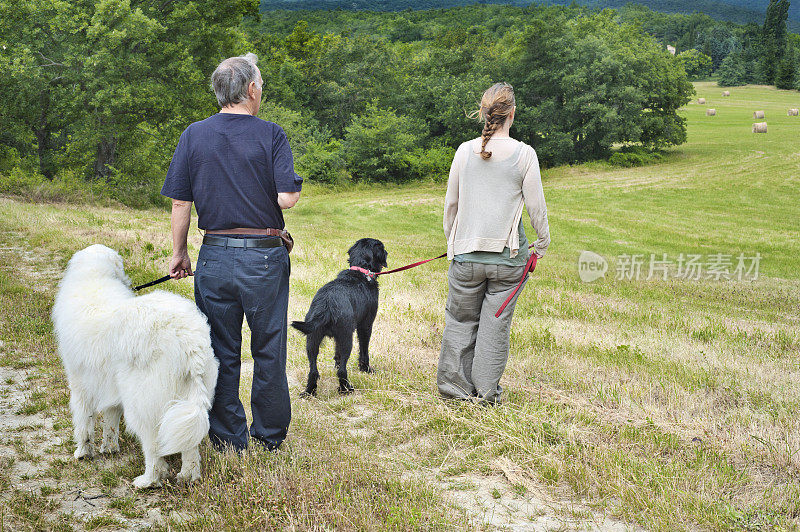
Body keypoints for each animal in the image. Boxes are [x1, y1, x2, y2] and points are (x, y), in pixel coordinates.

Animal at [51, 244, 217, 486]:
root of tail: (187, 339)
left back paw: (148, 480)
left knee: (153, 447)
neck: (95, 275)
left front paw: (83, 452)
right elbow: (110, 419)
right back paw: (188, 476)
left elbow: (84, 421)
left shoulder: (80, 383)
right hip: (187, 397)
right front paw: (109, 447)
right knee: (189, 445)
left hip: (143, 403)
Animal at [290, 238, 388, 394]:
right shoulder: (365, 326)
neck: (361, 271)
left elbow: (337, 355)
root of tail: (326, 305)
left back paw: (309, 391)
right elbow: (364, 350)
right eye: (382, 248)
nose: (387, 252)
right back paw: (346, 389)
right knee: (342, 370)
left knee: (313, 370)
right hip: (346, 338)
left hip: (312, 339)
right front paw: (366, 369)